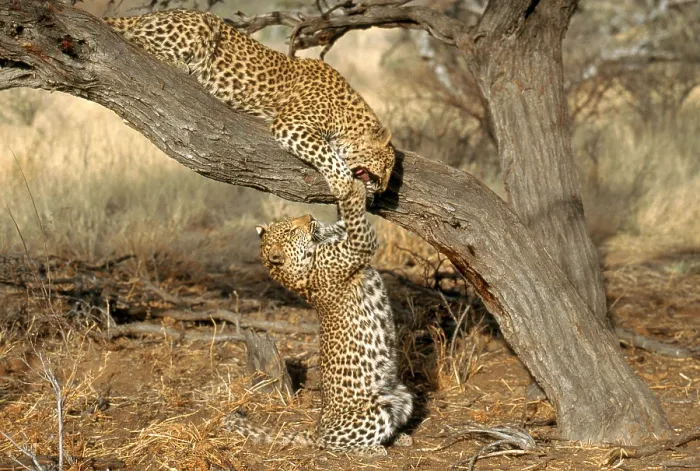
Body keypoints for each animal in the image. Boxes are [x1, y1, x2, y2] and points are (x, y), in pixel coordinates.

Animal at [103, 9, 395, 200]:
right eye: (386, 166)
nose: (383, 189)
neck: (348, 116)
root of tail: (146, 15)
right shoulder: (293, 124)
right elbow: (327, 154)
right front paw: (342, 183)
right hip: (202, 25)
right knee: (138, 39)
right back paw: (182, 65)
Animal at [228, 178, 413, 456]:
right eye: (291, 231)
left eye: (291, 223)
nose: (309, 216)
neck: (297, 273)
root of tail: (316, 428)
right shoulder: (358, 244)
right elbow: (353, 213)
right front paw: (351, 186)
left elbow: (344, 218)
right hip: (374, 410)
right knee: (334, 444)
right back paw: (373, 450)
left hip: (402, 395)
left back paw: (400, 438)